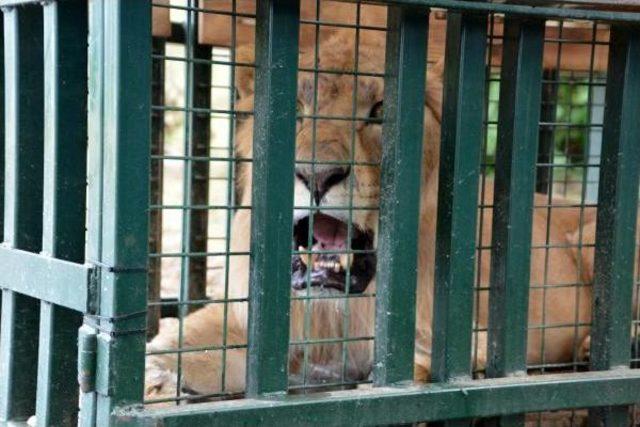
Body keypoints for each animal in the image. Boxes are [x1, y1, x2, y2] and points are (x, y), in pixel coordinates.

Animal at [144, 30, 636, 402]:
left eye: (380, 111)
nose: (316, 175)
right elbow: (186, 340)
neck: (342, 309)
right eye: (296, 111)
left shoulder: (456, 335)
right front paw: (155, 372)